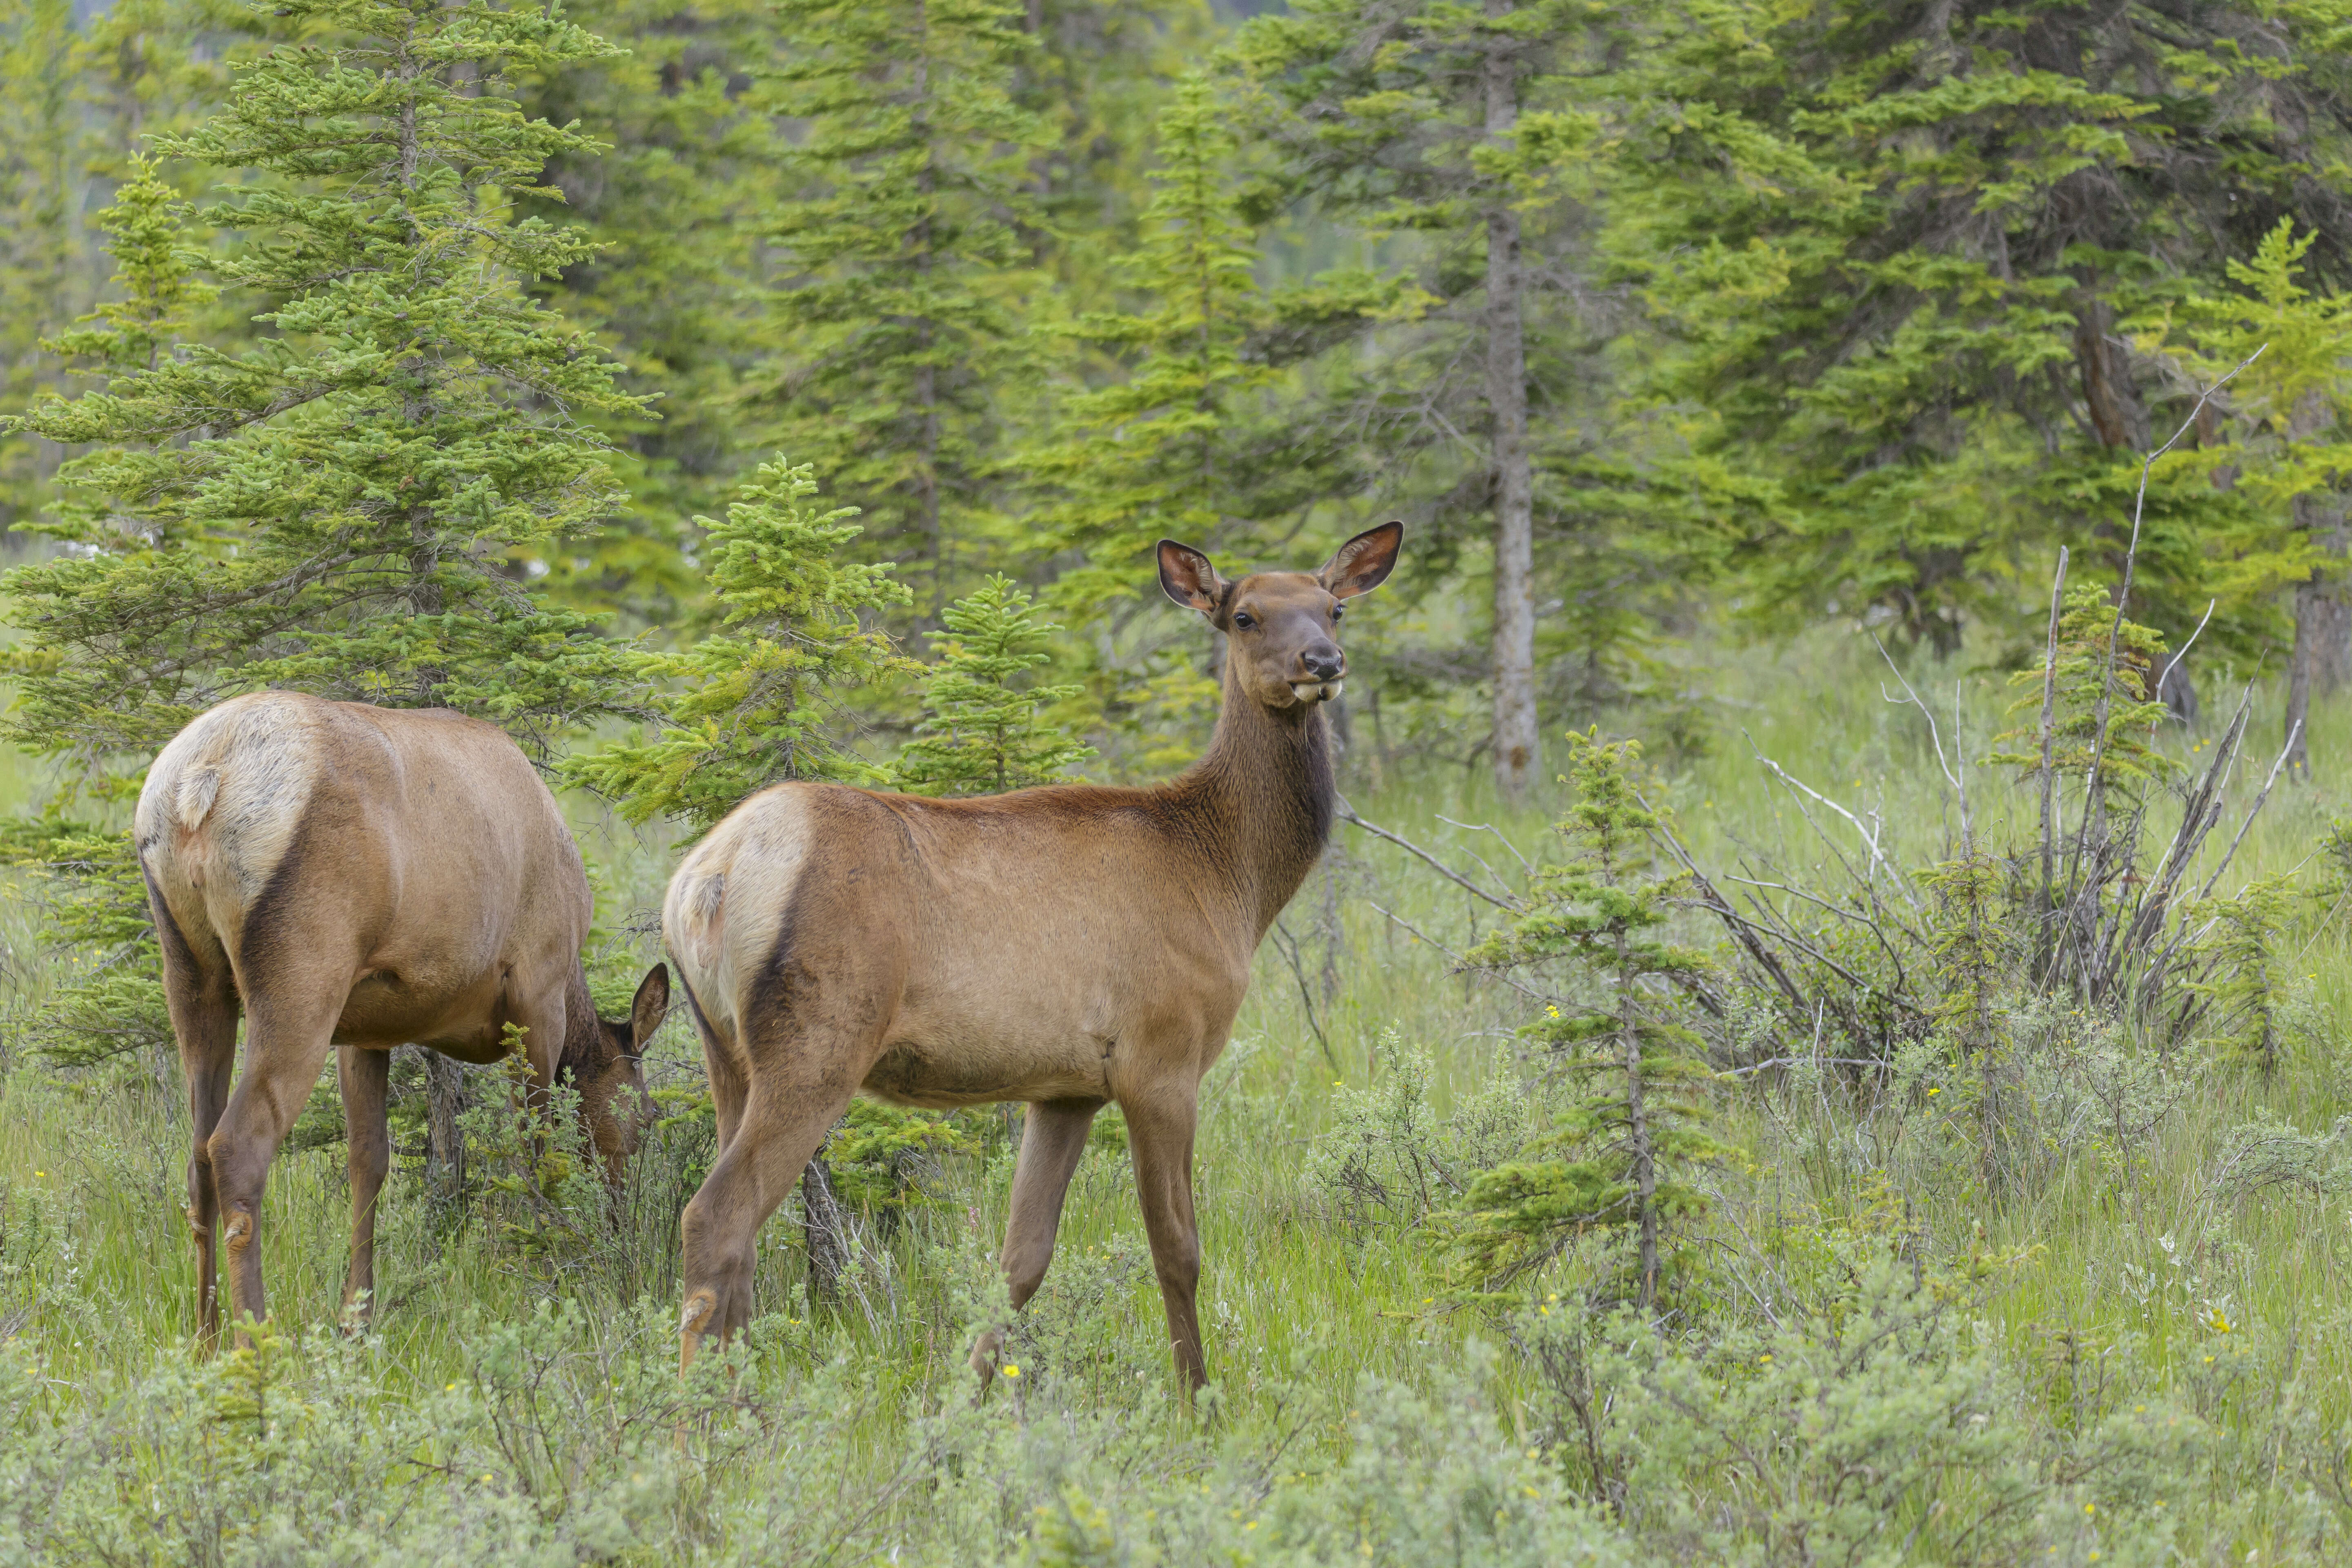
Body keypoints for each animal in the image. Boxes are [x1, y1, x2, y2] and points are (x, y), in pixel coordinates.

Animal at [136, 691, 668, 1345]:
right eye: (648, 1117)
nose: (621, 1228)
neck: (575, 988)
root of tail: (201, 784)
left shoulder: (364, 1029)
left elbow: (370, 1162)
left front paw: (355, 1319)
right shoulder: (538, 992)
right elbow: (538, 1150)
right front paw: (554, 1276)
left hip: (193, 972)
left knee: (196, 1154)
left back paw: (206, 1339)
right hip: (303, 974)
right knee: (237, 1146)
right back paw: (256, 1339)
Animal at [654, 524, 1401, 1382]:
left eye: (1333, 607)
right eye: (1245, 616)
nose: (1323, 662)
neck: (1230, 877)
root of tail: (706, 880)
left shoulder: (1066, 1087)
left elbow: (1021, 1261)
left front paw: (965, 1397)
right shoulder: (1161, 1054)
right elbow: (1177, 1250)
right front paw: (1198, 1396)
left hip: (725, 1051)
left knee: (740, 1242)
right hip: (818, 1038)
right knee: (717, 1217)